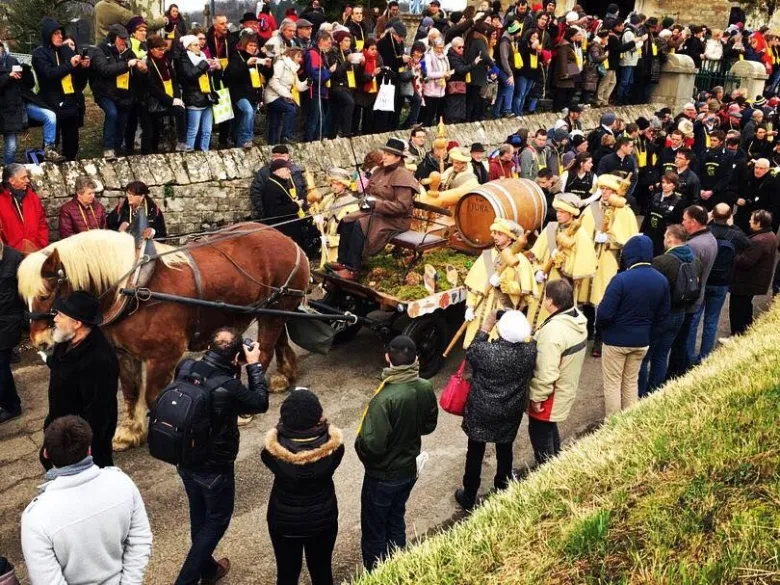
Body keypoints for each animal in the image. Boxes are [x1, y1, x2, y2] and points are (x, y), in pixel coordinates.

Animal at [18, 222, 310, 448]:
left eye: (46, 293)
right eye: (25, 297)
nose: (39, 342)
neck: (134, 287)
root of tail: (288, 239)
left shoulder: (163, 356)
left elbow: (153, 396)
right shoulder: (125, 355)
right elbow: (131, 391)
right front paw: (130, 432)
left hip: (275, 309)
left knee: (266, 348)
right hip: (274, 307)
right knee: (279, 337)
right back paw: (284, 375)